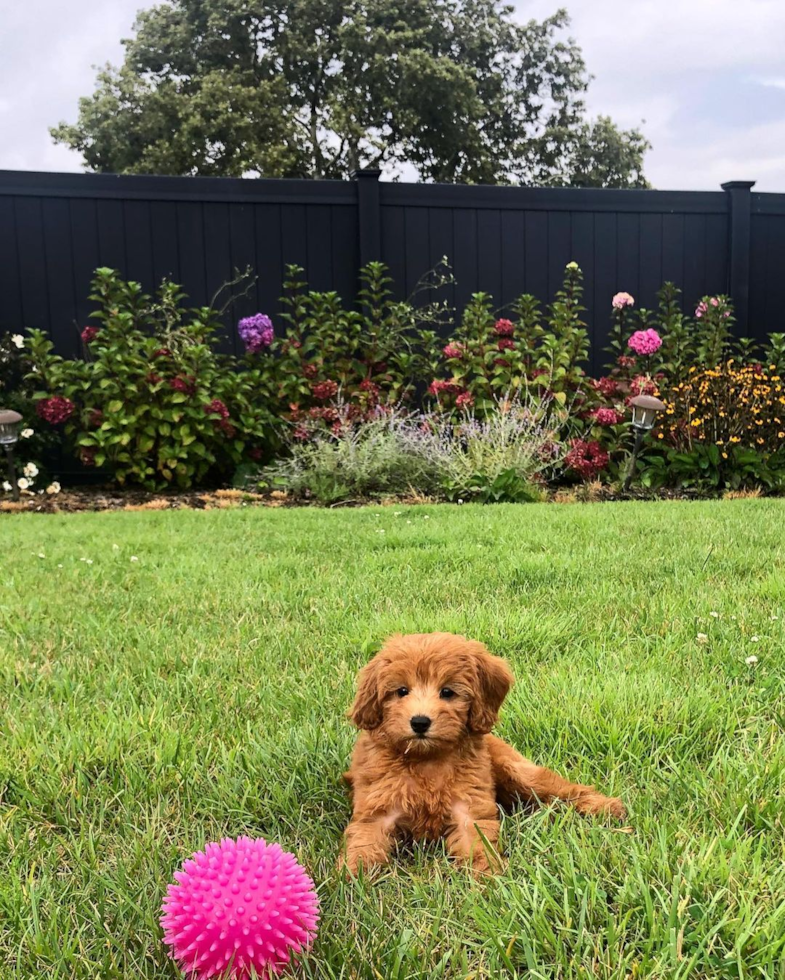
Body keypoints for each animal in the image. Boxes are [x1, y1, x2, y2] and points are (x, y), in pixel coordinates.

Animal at [340, 632, 620, 876]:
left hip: (516, 770)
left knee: (561, 788)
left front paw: (488, 879)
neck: (426, 760)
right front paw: (352, 878)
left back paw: (606, 807)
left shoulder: (469, 808)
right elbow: (364, 844)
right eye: (401, 691)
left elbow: (478, 846)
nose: (420, 722)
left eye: (447, 692)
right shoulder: (376, 810)